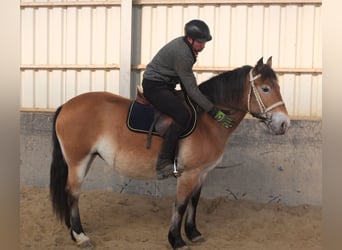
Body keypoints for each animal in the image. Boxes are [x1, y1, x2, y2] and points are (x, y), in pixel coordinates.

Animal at [49, 57, 290, 249]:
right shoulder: (189, 174)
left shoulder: (202, 173)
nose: (284, 124)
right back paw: (80, 236)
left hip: (86, 158)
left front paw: (193, 233)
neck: (208, 120)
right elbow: (181, 205)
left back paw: (74, 232)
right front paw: (177, 240)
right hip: (78, 160)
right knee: (73, 193)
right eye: (265, 89)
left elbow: (194, 201)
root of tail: (66, 105)